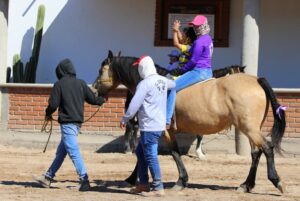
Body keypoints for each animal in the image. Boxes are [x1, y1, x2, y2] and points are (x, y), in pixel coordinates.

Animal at [92, 51, 288, 194]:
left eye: (101, 70)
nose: (94, 90)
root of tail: (256, 80)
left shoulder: (165, 130)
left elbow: (174, 152)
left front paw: (181, 180)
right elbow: (145, 153)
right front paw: (132, 178)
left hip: (249, 128)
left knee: (267, 149)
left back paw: (276, 181)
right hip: (250, 128)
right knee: (256, 153)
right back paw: (246, 185)